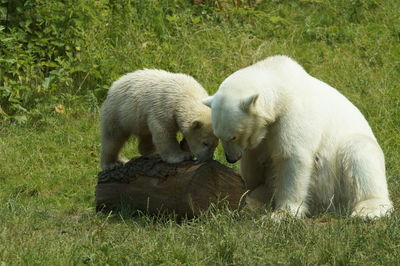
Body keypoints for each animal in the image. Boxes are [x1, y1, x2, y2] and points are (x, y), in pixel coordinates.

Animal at [205, 55, 392, 218]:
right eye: (218, 136)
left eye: (233, 137)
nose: (230, 158)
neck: (282, 85)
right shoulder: (263, 134)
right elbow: (254, 164)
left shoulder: (293, 114)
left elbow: (292, 157)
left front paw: (282, 214)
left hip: (339, 175)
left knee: (359, 153)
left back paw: (369, 210)